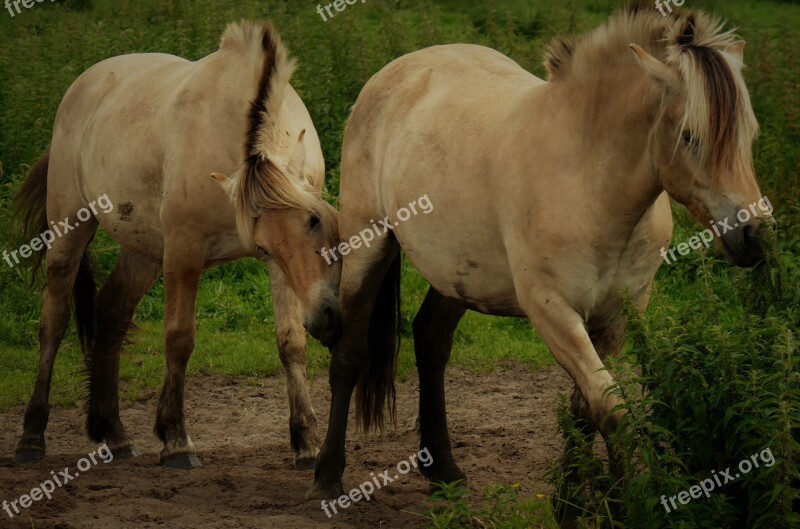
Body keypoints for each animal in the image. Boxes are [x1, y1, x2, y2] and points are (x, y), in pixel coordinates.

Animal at [14, 20, 342, 468]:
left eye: (317, 220)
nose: (327, 316)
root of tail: (83, 85)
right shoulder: (185, 252)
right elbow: (179, 338)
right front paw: (175, 438)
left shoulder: (278, 268)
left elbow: (291, 342)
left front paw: (306, 441)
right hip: (70, 230)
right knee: (54, 321)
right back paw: (31, 437)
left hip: (144, 249)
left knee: (111, 311)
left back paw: (114, 434)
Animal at [310, 3, 776, 516]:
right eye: (690, 137)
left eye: (750, 134)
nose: (755, 234)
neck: (587, 178)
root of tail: (397, 70)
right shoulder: (553, 311)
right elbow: (611, 410)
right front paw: (624, 503)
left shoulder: (618, 317)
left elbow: (586, 408)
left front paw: (573, 502)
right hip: (368, 245)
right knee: (349, 354)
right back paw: (328, 478)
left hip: (457, 273)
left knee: (430, 341)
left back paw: (445, 471)